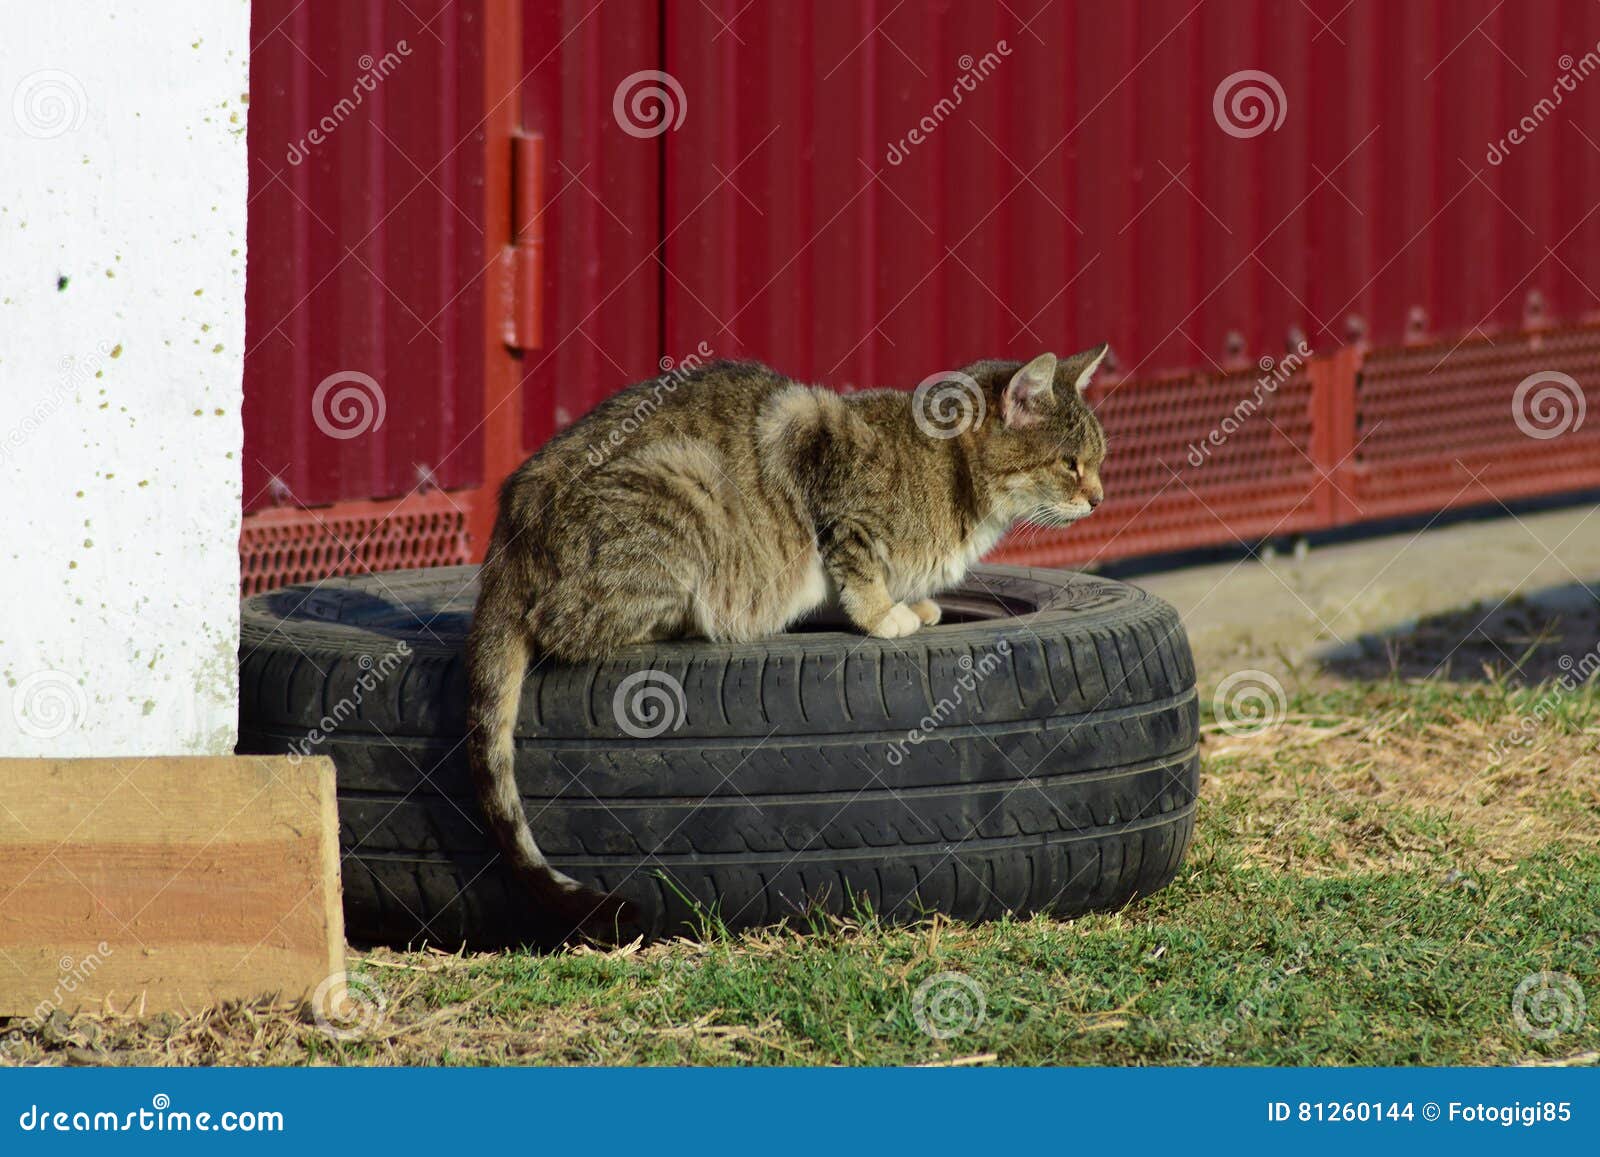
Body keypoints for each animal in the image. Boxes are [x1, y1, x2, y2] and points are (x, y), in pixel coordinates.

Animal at [467, 345, 1107, 934]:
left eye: (1099, 460)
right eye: (1070, 463)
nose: (1100, 498)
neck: (948, 467)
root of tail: (507, 537)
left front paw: (913, 602)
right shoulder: (818, 444)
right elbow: (855, 560)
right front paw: (882, 613)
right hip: (682, 489)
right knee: (562, 625)